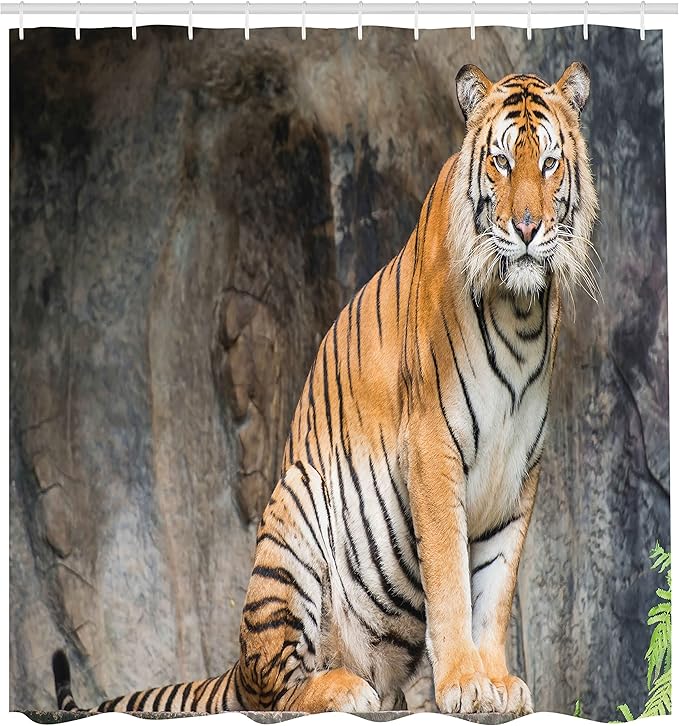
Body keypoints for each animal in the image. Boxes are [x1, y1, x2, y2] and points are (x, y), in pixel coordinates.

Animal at [51, 62, 597, 716]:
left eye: (549, 164)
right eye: (500, 162)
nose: (527, 228)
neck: (519, 310)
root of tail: (234, 663)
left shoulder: (519, 469)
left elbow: (495, 590)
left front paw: (498, 681)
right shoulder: (433, 449)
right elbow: (450, 578)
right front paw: (465, 682)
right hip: (296, 511)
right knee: (273, 686)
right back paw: (341, 686)